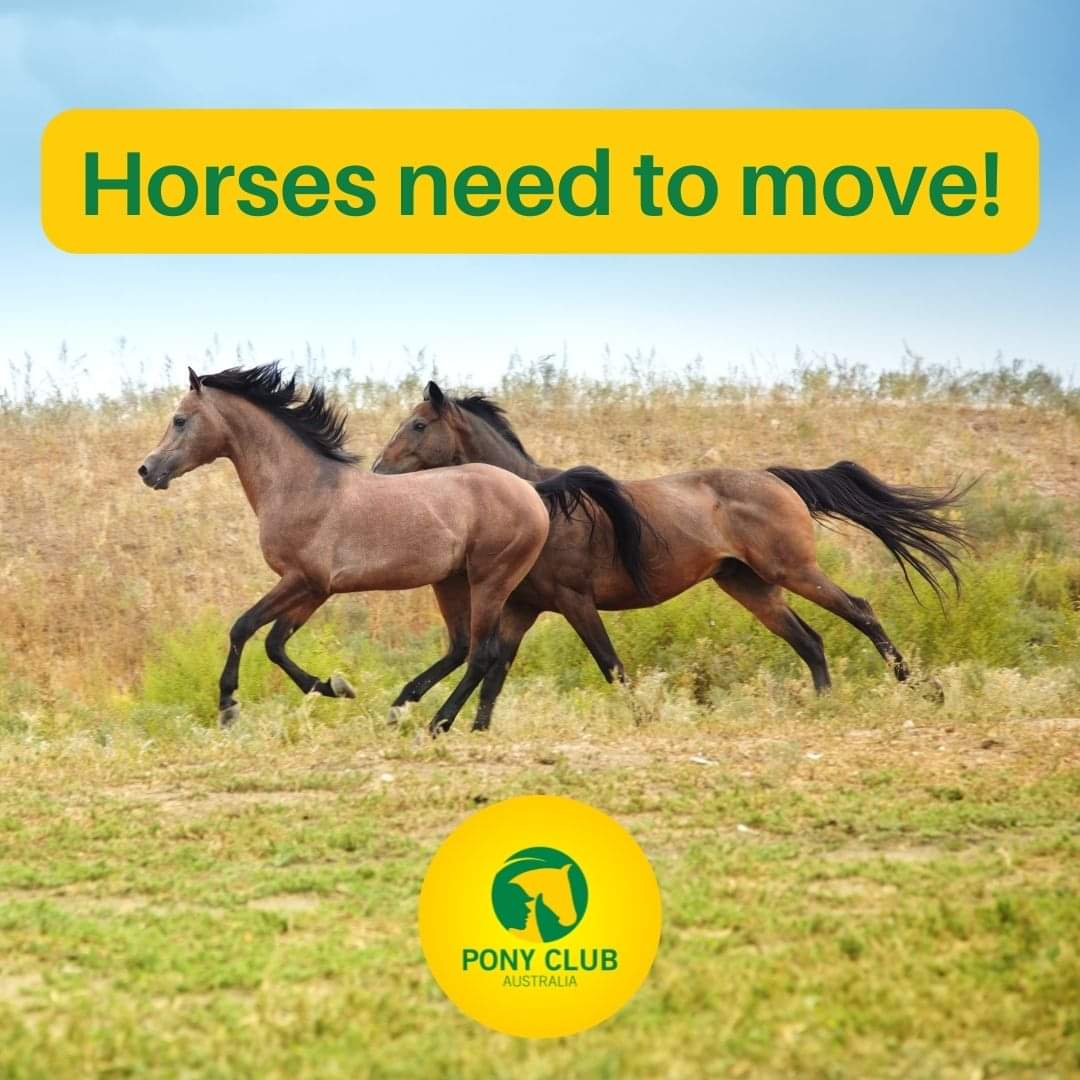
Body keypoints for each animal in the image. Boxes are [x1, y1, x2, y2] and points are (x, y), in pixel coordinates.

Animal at [137, 363, 645, 733]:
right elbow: (276, 644)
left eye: (179, 419)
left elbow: (243, 628)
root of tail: (531, 490)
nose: (147, 470)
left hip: (490, 580)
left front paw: (228, 706)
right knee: (462, 647)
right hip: (451, 582)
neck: (304, 487)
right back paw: (403, 707)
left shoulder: (302, 580)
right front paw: (335, 686)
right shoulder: (314, 589)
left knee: (482, 653)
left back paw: (438, 722)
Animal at [373, 381, 971, 714]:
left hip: (794, 570)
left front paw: (642, 717)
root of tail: (775, 478)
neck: (541, 502)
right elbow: (495, 672)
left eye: (418, 424)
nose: (376, 471)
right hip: (750, 585)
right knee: (810, 639)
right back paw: (825, 704)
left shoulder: (574, 602)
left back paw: (923, 690)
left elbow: (610, 666)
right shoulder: (525, 607)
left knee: (859, 611)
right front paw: (463, 725)